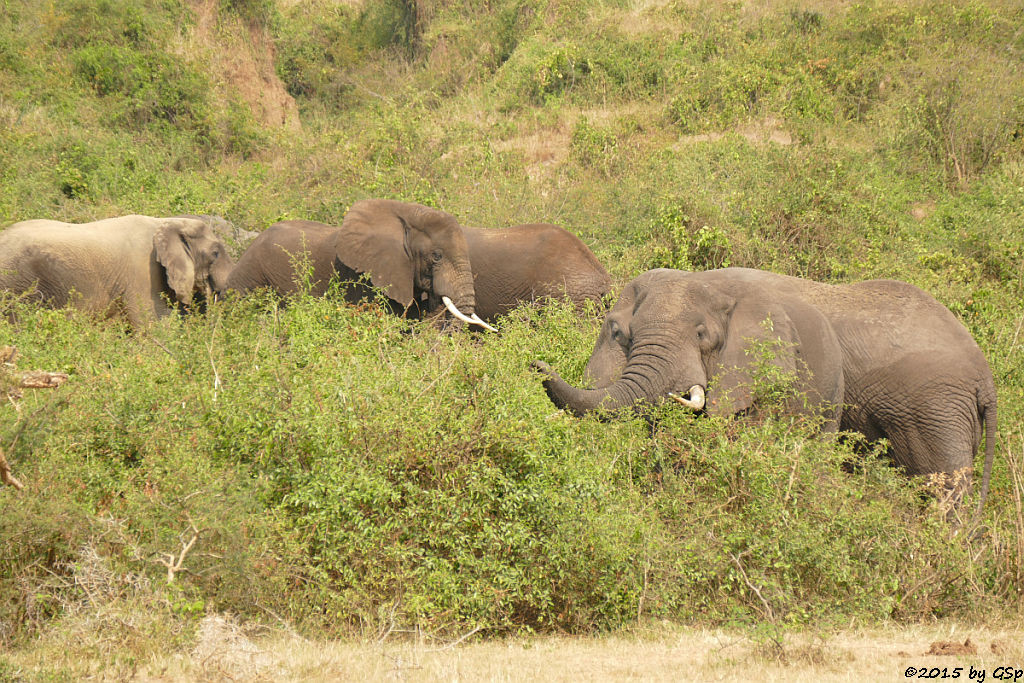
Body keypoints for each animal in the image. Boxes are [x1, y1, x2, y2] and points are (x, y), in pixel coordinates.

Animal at [536, 266, 999, 511]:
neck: (711, 284)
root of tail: (986, 377)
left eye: (703, 336)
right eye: (620, 333)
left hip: (935, 410)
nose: (536, 365)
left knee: (945, 488)